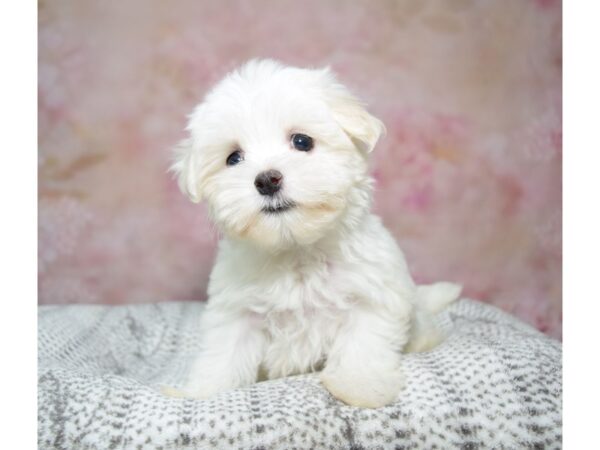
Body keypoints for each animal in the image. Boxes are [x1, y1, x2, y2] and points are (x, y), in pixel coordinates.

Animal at [166, 59, 462, 408]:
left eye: (302, 141)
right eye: (233, 158)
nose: (267, 180)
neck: (297, 249)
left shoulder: (372, 296)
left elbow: (363, 345)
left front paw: (360, 386)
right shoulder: (236, 311)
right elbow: (223, 355)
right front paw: (200, 393)